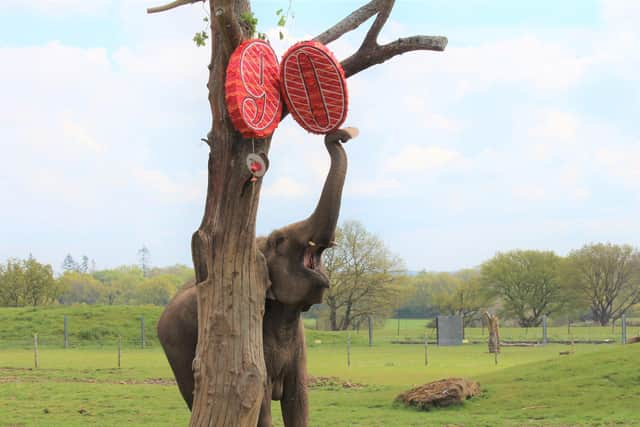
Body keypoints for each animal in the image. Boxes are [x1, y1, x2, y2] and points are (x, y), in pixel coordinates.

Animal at [155, 127, 356, 427]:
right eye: (280, 240)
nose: (339, 135)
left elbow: (299, 401)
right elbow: (259, 399)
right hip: (176, 347)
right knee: (193, 394)